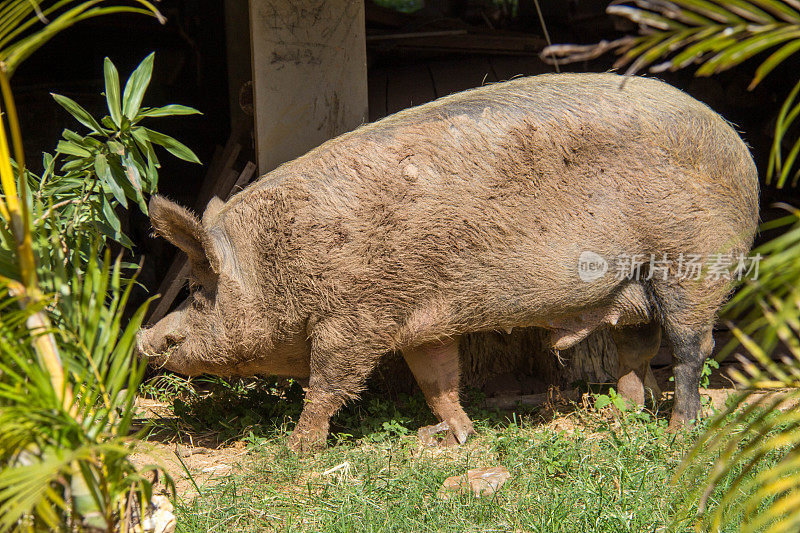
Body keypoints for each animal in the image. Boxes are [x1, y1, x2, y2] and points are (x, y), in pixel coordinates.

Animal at [138, 71, 756, 454]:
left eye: (198, 291)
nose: (144, 339)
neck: (280, 259)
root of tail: (740, 146)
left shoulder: (356, 318)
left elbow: (328, 382)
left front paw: (296, 449)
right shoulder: (419, 320)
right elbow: (437, 378)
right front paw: (455, 437)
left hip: (692, 266)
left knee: (691, 349)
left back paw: (677, 434)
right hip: (633, 290)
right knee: (637, 350)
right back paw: (625, 418)